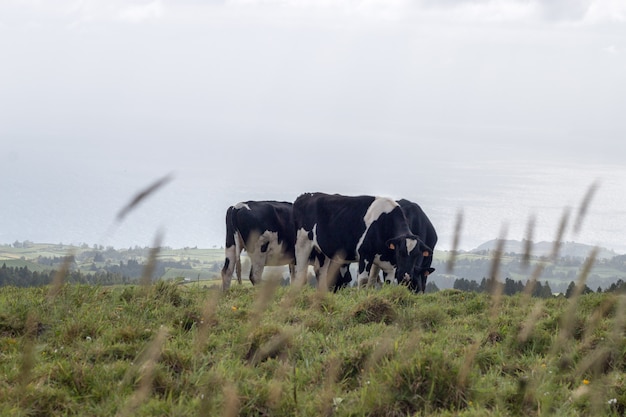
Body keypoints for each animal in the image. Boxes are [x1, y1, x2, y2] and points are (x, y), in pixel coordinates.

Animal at [292, 193, 428, 288]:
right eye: (400, 252)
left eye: (417, 255)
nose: (406, 276)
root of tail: (305, 196)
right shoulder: (365, 254)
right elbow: (363, 281)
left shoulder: (389, 264)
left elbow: (384, 283)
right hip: (302, 243)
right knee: (300, 273)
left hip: (321, 250)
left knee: (321, 272)